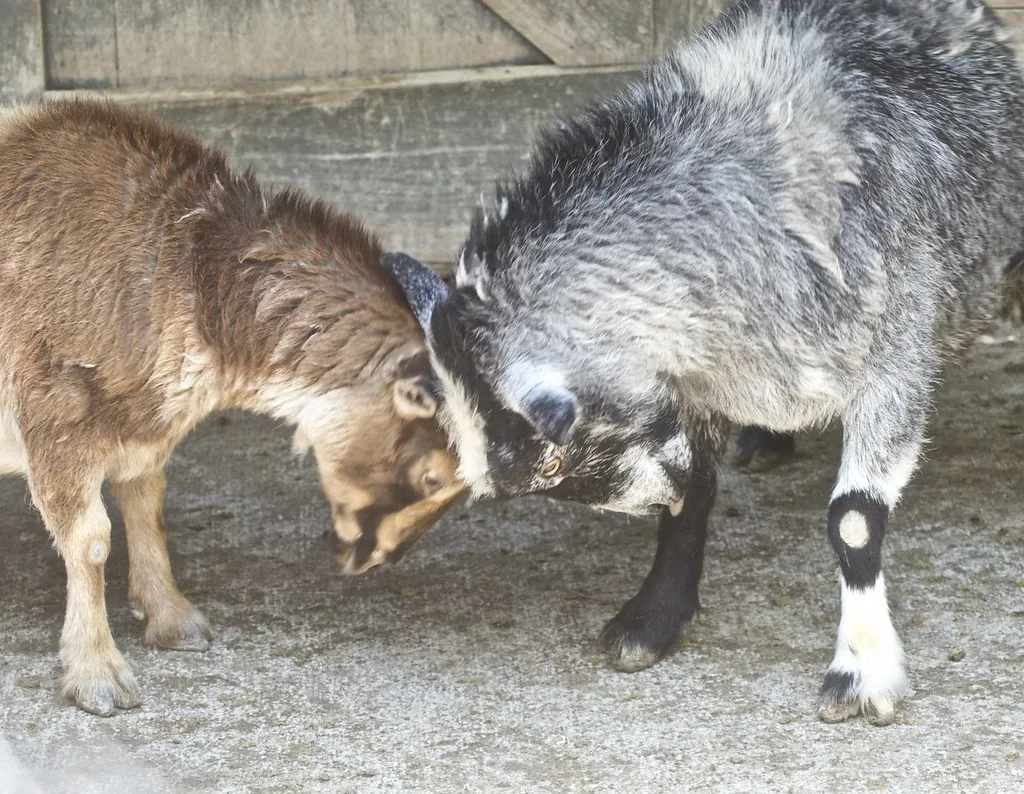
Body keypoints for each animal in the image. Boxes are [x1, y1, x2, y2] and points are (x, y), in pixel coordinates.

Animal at [0, 99, 465, 715]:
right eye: (433, 476)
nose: (373, 558)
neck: (185, 270)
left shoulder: (141, 427)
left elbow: (147, 507)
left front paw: (173, 618)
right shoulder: (56, 419)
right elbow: (91, 542)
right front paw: (98, 671)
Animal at [390, 0, 1024, 725]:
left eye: (551, 458)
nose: (646, 501)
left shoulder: (894, 364)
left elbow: (854, 522)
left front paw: (861, 672)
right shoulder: (691, 390)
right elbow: (694, 493)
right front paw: (653, 618)